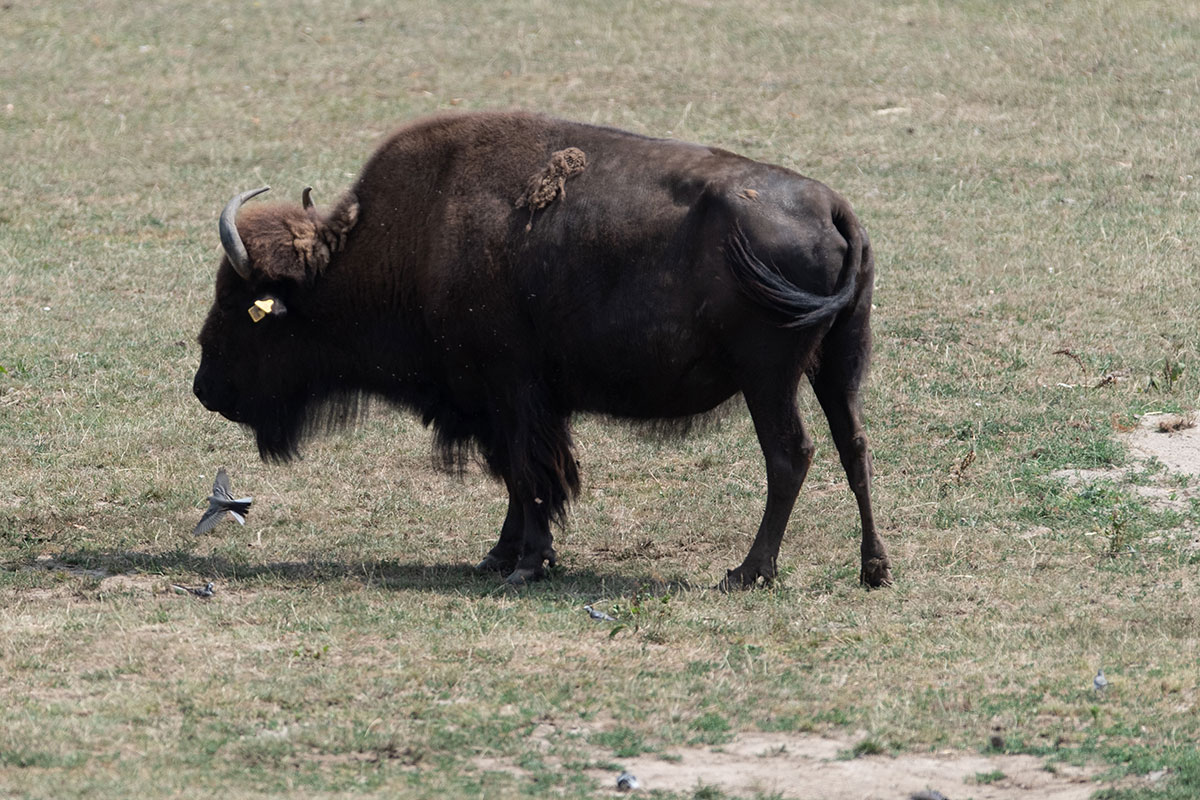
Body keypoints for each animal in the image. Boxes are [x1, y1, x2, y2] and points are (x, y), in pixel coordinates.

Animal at [192, 111, 892, 589]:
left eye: (238, 305)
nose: (204, 387)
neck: (415, 239)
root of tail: (834, 207)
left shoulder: (511, 395)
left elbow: (530, 477)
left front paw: (524, 564)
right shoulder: (507, 405)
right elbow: (517, 478)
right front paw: (501, 556)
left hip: (768, 378)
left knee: (789, 455)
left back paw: (748, 572)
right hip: (836, 369)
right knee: (853, 448)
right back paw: (873, 569)